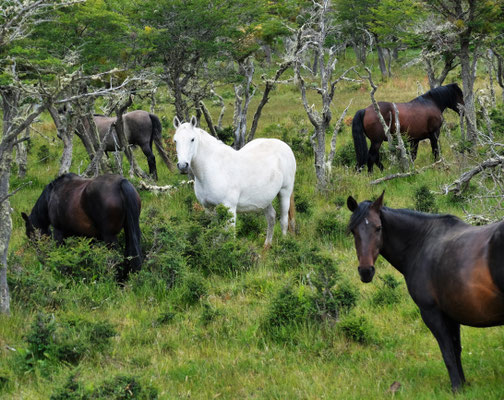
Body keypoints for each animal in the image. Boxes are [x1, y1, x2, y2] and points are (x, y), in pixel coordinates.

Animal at [173, 115, 296, 247]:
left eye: (192, 139)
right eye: (175, 140)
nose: (183, 166)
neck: (212, 169)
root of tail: (285, 146)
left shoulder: (230, 208)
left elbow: (230, 235)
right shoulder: (208, 208)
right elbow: (214, 235)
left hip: (284, 193)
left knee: (284, 221)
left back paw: (284, 245)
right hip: (265, 198)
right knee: (271, 217)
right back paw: (266, 247)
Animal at [346, 191, 504, 390]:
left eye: (378, 228)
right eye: (353, 231)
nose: (366, 271)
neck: (420, 243)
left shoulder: (431, 313)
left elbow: (447, 352)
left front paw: (456, 388)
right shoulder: (451, 313)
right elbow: (456, 349)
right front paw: (463, 385)